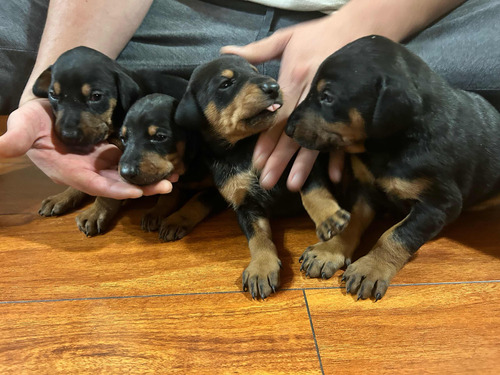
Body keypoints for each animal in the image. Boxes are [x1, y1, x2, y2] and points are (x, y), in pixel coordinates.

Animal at [32, 45, 186, 236]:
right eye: (53, 95)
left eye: (96, 96)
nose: (68, 135)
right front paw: (63, 197)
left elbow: (109, 193)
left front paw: (96, 212)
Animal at [119, 93, 225, 241]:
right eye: (123, 138)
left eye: (160, 137)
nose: (125, 173)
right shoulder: (175, 181)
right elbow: (168, 195)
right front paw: (155, 212)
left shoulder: (219, 190)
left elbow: (197, 200)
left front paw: (175, 221)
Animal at [176, 54, 352, 300]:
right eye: (226, 84)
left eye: (254, 71)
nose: (273, 86)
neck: (243, 148)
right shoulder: (244, 204)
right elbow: (257, 237)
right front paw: (261, 268)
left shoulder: (302, 164)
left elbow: (312, 191)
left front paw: (329, 218)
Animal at [286, 35, 500, 302]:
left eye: (327, 96)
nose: (287, 127)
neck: (391, 144)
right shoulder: (365, 188)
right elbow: (351, 220)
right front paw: (329, 250)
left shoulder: (440, 204)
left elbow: (396, 234)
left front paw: (371, 268)